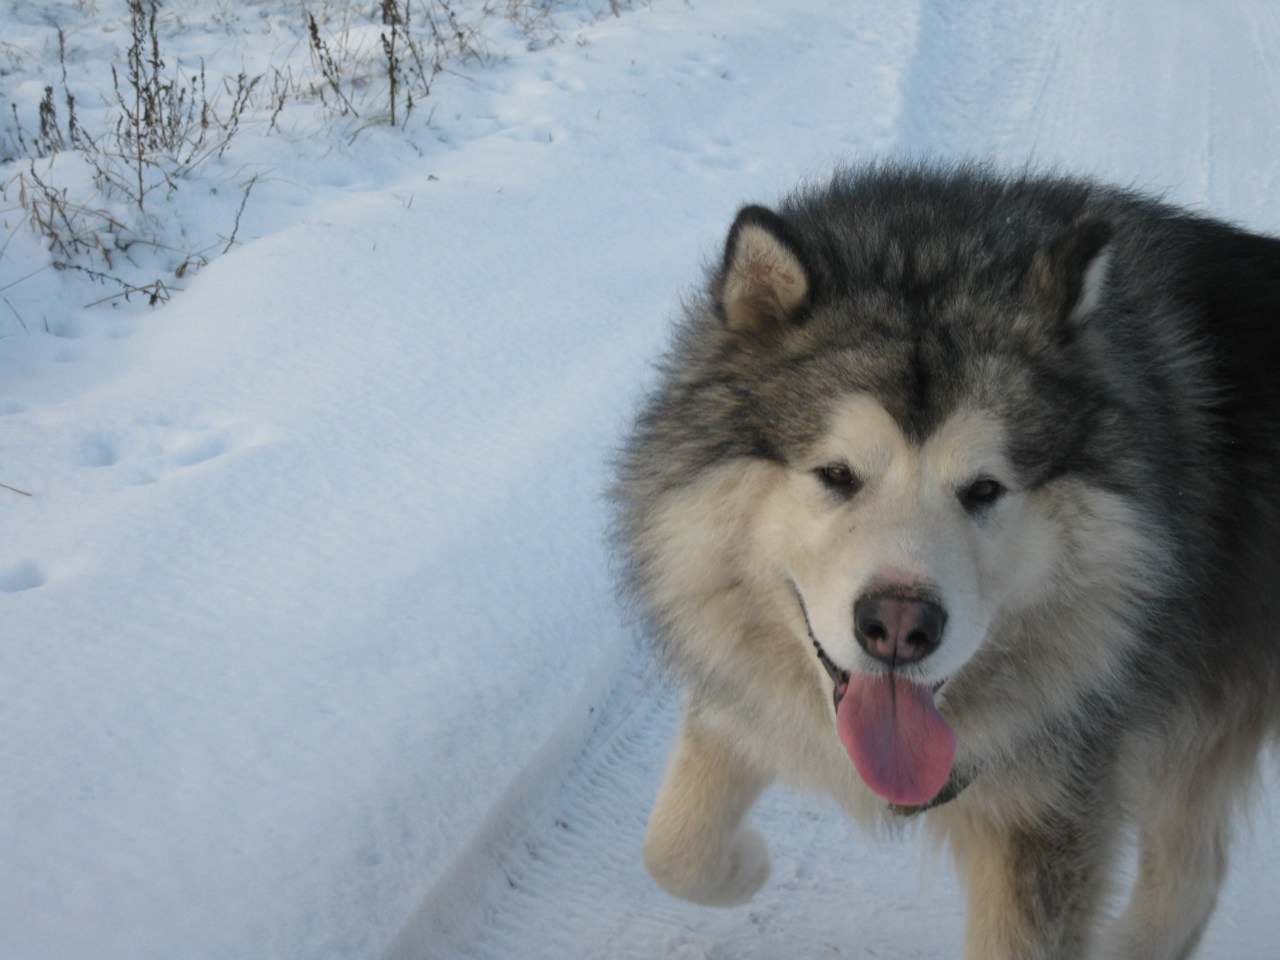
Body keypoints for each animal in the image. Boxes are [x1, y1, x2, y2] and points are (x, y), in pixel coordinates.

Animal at [606, 161, 1280, 957]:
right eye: (837, 474)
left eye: (984, 489)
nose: (899, 627)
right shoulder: (739, 686)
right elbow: (673, 848)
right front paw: (746, 865)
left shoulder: (1050, 811)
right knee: (1192, 872)